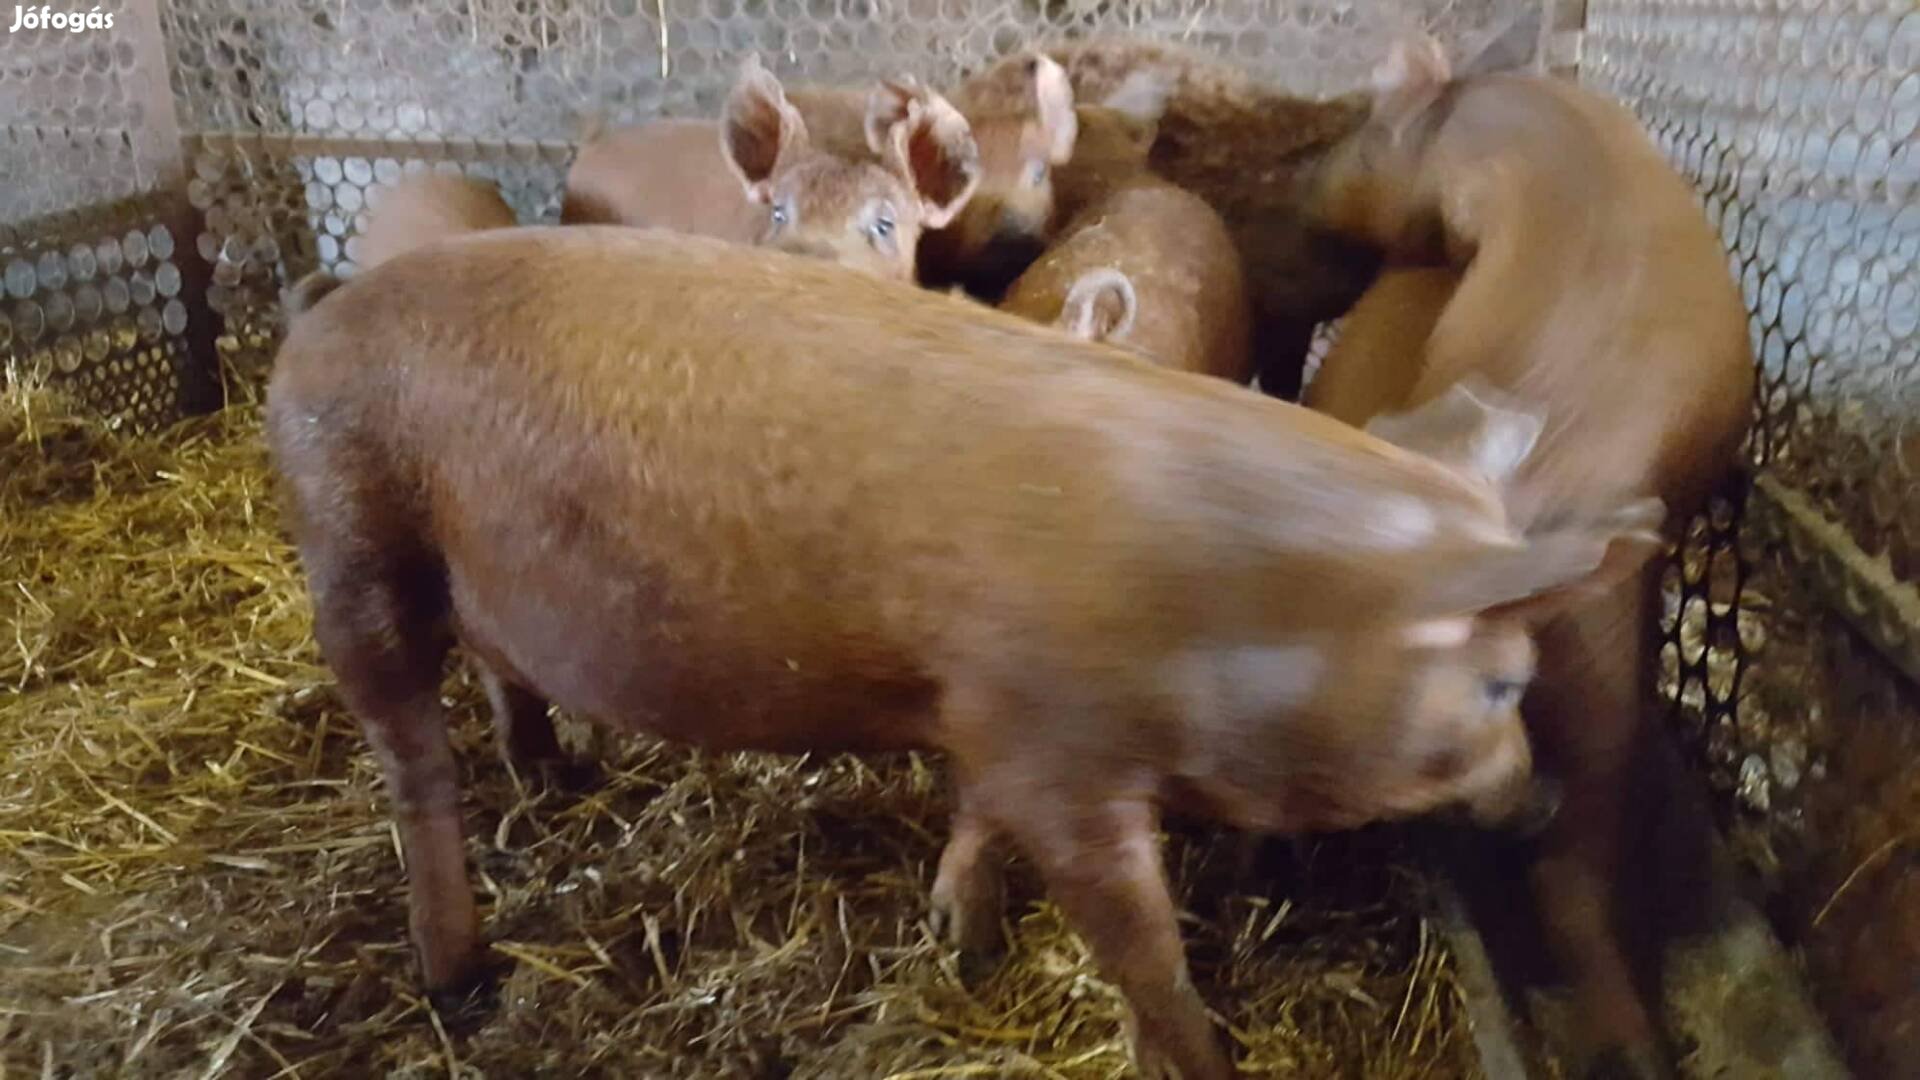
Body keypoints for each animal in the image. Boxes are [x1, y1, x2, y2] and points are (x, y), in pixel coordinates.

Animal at [270, 224, 1666, 1076]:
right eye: (1501, 682)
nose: (1536, 796)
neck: (1227, 601)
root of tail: (325, 314)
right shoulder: (1060, 751)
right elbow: (1136, 939)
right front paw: (1196, 1051)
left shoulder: (983, 713)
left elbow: (978, 816)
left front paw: (963, 933)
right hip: (350, 537)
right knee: (409, 756)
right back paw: (458, 974)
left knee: (500, 670)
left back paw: (557, 777)